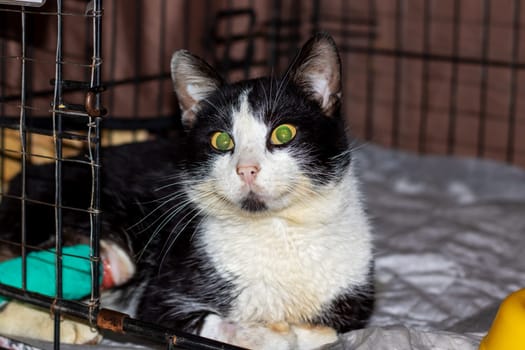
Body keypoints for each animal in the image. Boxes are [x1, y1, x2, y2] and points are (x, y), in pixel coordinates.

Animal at [1, 33, 376, 350]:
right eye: (221, 140)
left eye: (284, 133)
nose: (247, 169)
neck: (279, 231)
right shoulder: (162, 296)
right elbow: (203, 325)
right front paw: (273, 333)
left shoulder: (355, 301)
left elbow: (336, 329)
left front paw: (304, 330)